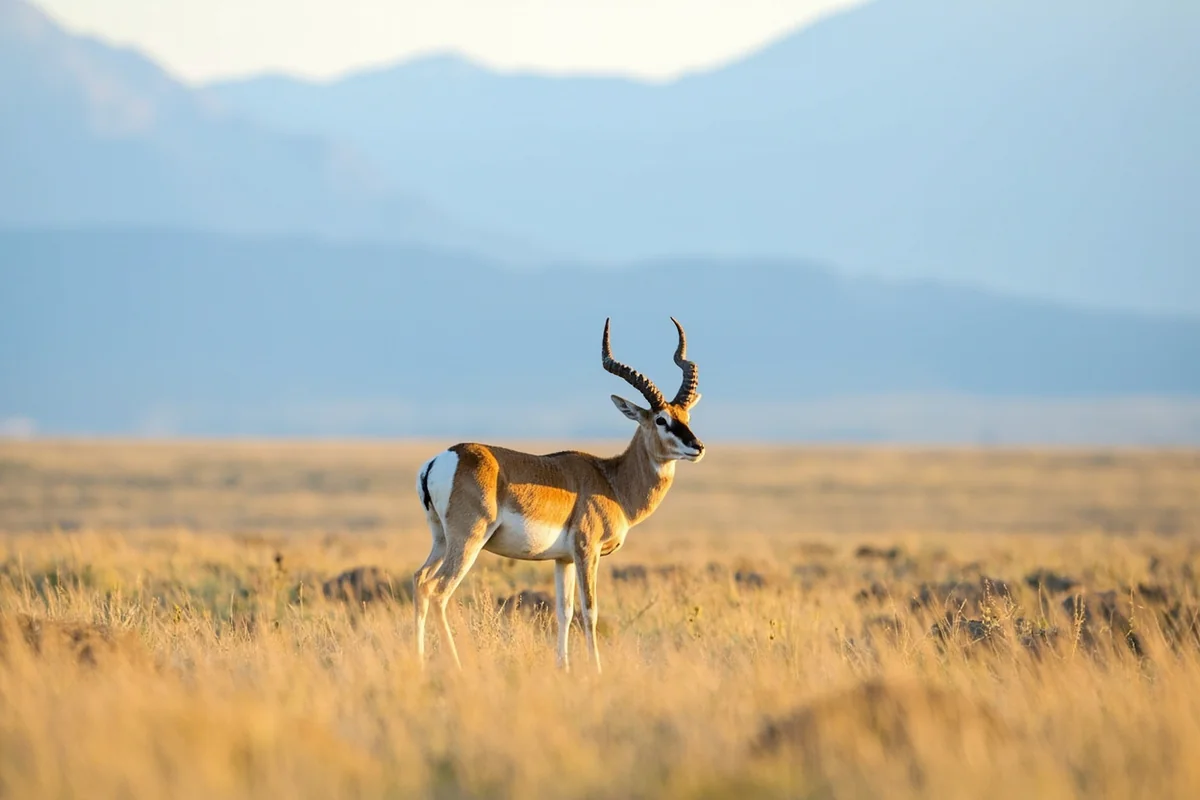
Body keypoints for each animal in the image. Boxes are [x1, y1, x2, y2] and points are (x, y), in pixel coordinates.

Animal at [413, 317, 705, 672]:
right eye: (661, 419)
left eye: (686, 417)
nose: (697, 447)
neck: (610, 480)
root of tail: (441, 459)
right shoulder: (586, 551)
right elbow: (589, 611)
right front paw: (596, 670)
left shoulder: (562, 559)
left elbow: (564, 612)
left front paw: (563, 667)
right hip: (468, 541)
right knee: (438, 590)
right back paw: (456, 664)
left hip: (441, 539)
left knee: (419, 581)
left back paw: (419, 660)